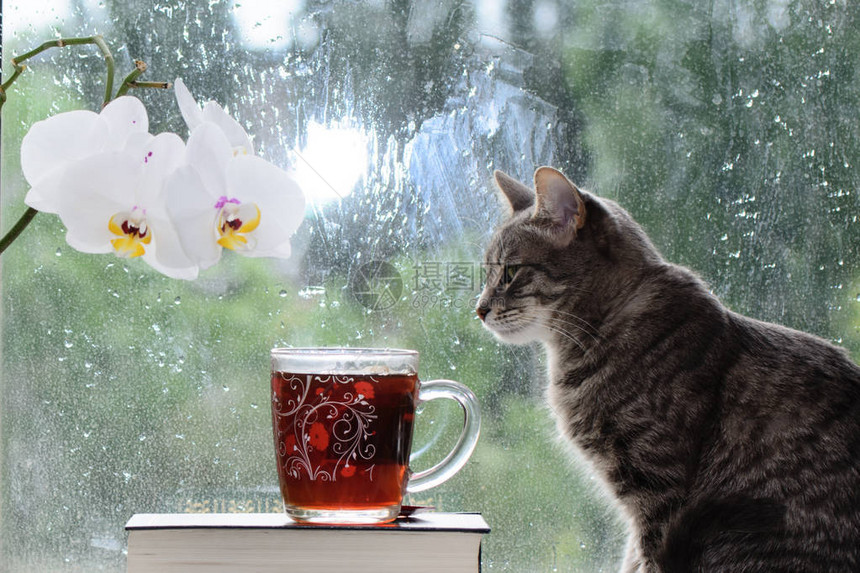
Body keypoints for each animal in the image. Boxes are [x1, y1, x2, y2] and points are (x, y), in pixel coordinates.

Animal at [478, 165, 860, 572]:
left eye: (510, 272)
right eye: (487, 273)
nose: (479, 309)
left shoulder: (659, 492)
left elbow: (646, 558)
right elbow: (631, 558)